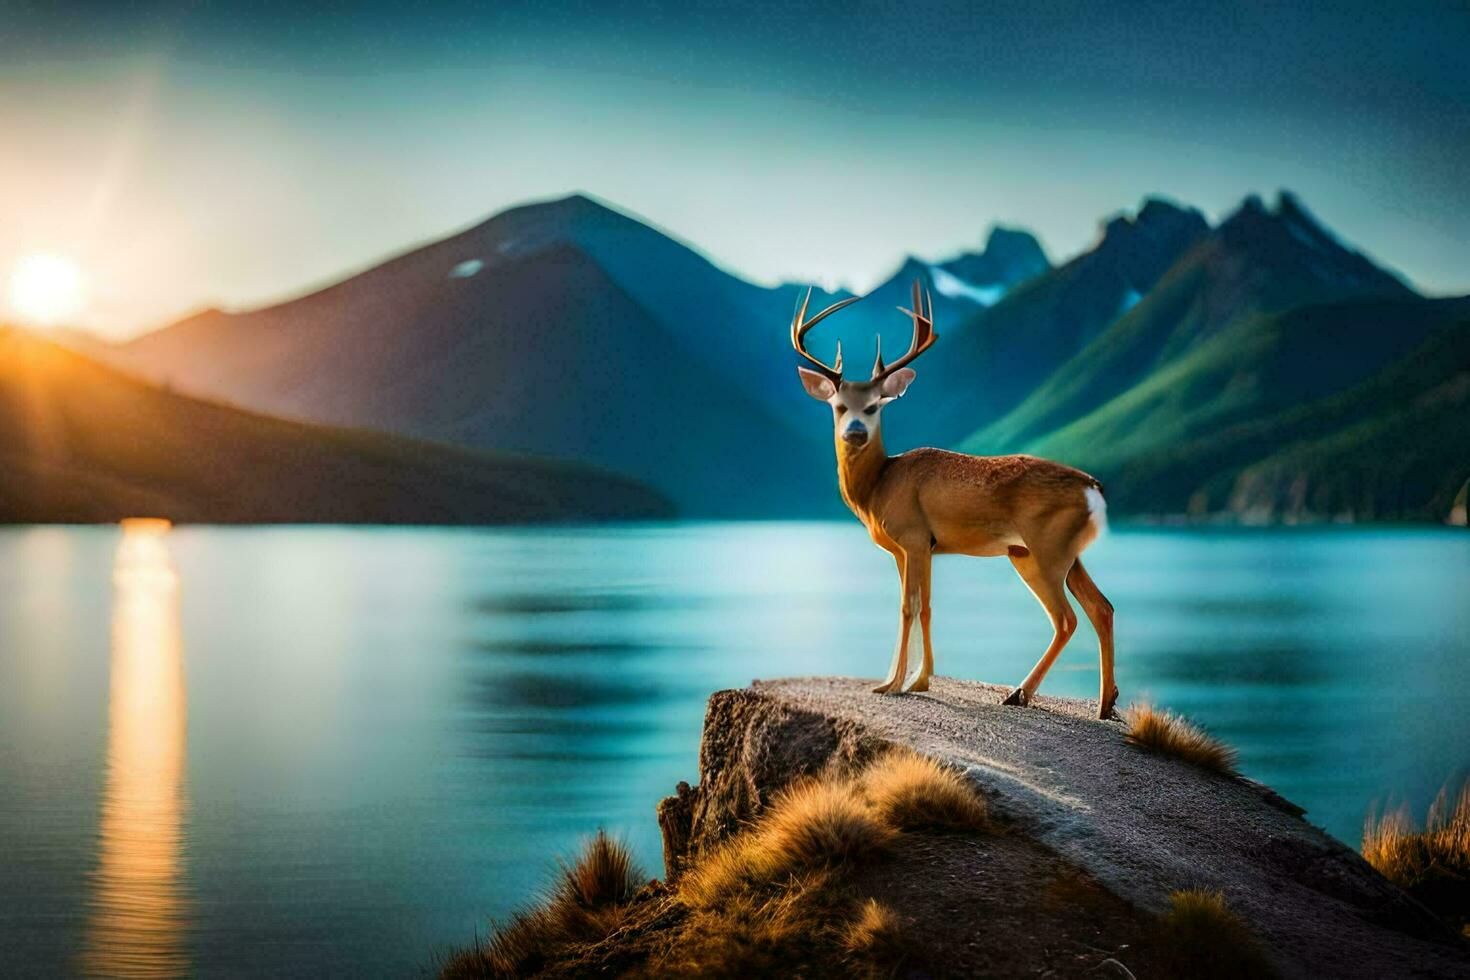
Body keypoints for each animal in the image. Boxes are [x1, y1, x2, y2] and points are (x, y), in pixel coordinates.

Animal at [793, 279, 1111, 717]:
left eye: (873, 407)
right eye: (839, 406)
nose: (854, 431)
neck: (878, 486)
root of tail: (1093, 488)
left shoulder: (913, 536)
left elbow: (911, 607)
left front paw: (898, 684)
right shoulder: (908, 548)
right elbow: (919, 606)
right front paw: (909, 679)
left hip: (1044, 550)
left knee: (1067, 619)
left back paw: (1019, 693)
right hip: (1057, 553)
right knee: (1102, 608)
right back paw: (1106, 704)